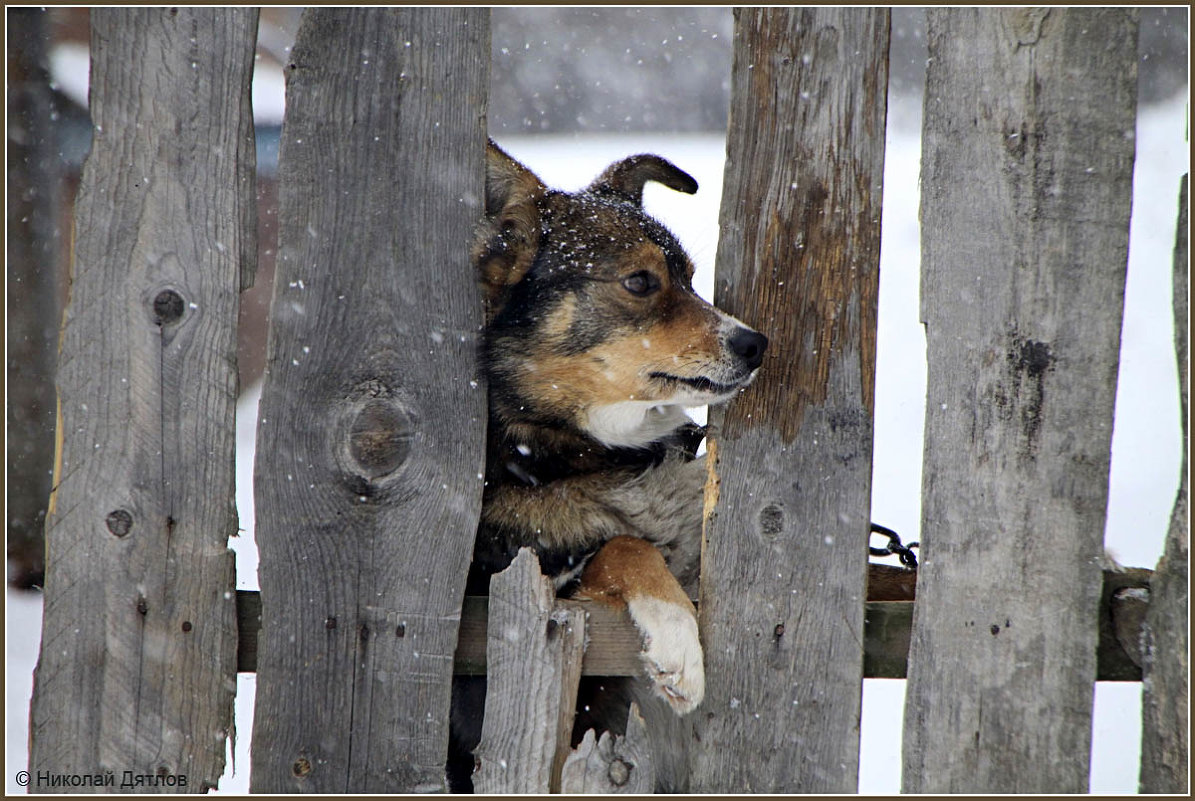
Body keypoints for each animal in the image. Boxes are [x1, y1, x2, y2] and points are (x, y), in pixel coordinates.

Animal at [446, 141, 764, 793]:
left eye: (691, 278)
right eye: (641, 281)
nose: (756, 345)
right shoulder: (503, 604)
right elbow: (622, 547)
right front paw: (676, 639)